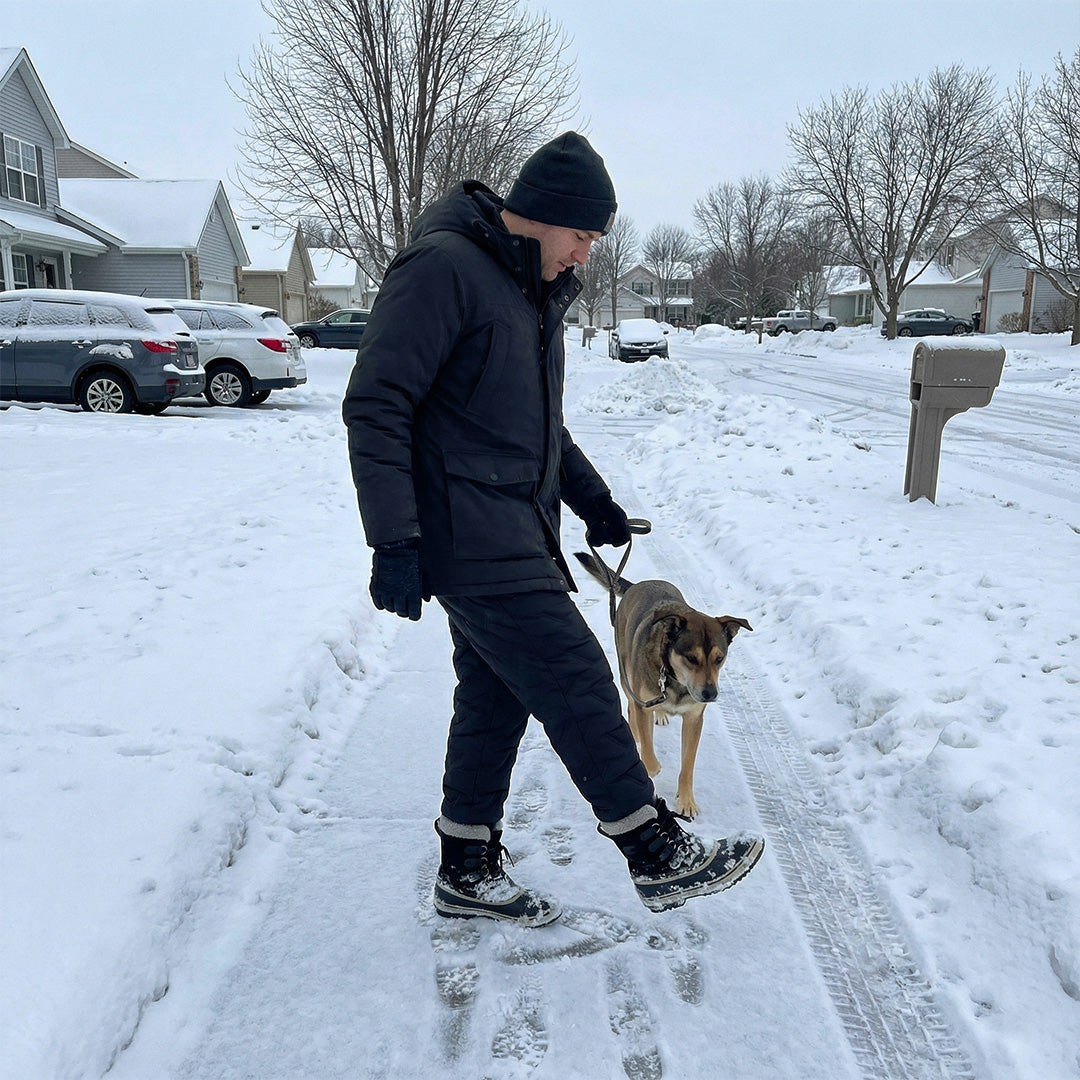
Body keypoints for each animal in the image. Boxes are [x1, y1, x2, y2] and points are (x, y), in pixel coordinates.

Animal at [575, 552, 752, 819]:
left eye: (719, 658)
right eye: (692, 658)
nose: (710, 694)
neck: (675, 680)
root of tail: (639, 584)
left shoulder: (694, 719)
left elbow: (687, 765)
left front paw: (687, 801)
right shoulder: (643, 704)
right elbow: (648, 748)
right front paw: (651, 765)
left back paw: (661, 714)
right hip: (626, 671)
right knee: (631, 708)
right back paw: (637, 732)